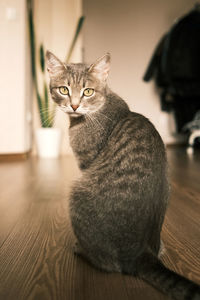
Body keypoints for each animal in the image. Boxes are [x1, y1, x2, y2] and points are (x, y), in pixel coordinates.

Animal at [46, 51, 200, 300]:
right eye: (63, 90)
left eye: (87, 91)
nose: (75, 105)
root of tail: (141, 254)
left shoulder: (86, 162)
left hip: (77, 195)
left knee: (108, 264)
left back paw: (81, 249)